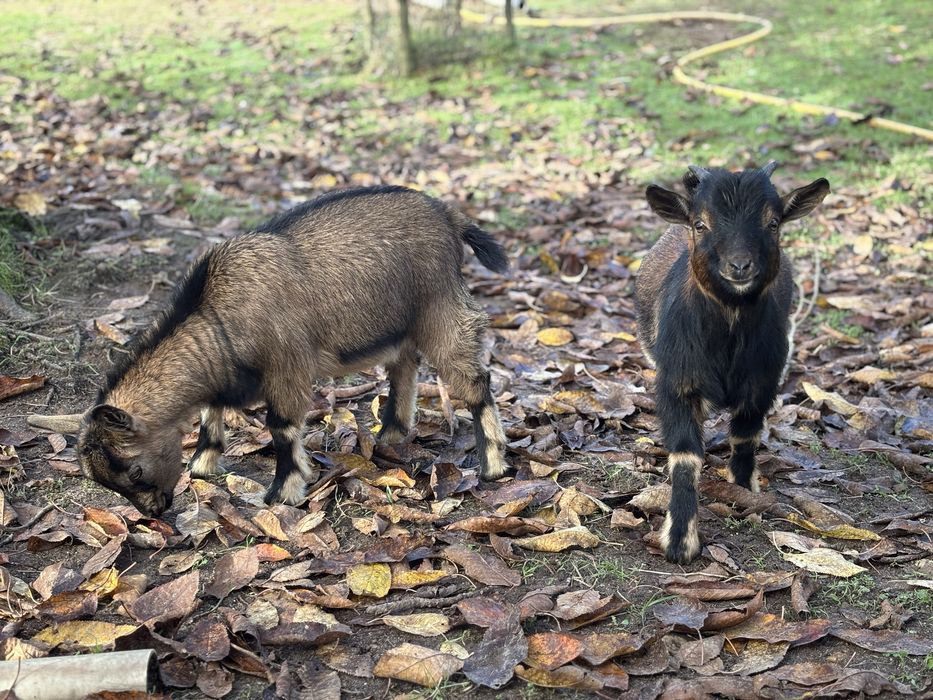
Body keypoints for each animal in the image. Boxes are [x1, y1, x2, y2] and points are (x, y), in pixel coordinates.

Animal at [77, 186, 510, 517]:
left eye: (134, 472)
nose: (154, 511)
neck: (215, 315)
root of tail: (449, 217)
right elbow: (209, 414)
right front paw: (201, 466)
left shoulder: (287, 368)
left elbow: (282, 428)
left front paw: (281, 492)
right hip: (399, 324)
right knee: (404, 366)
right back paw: (391, 433)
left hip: (440, 308)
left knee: (474, 381)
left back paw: (492, 466)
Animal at [636, 162, 829, 563]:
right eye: (700, 224)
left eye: (774, 222)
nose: (739, 266)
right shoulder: (677, 385)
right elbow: (685, 456)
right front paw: (679, 542)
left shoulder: (762, 383)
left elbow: (744, 438)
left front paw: (743, 492)